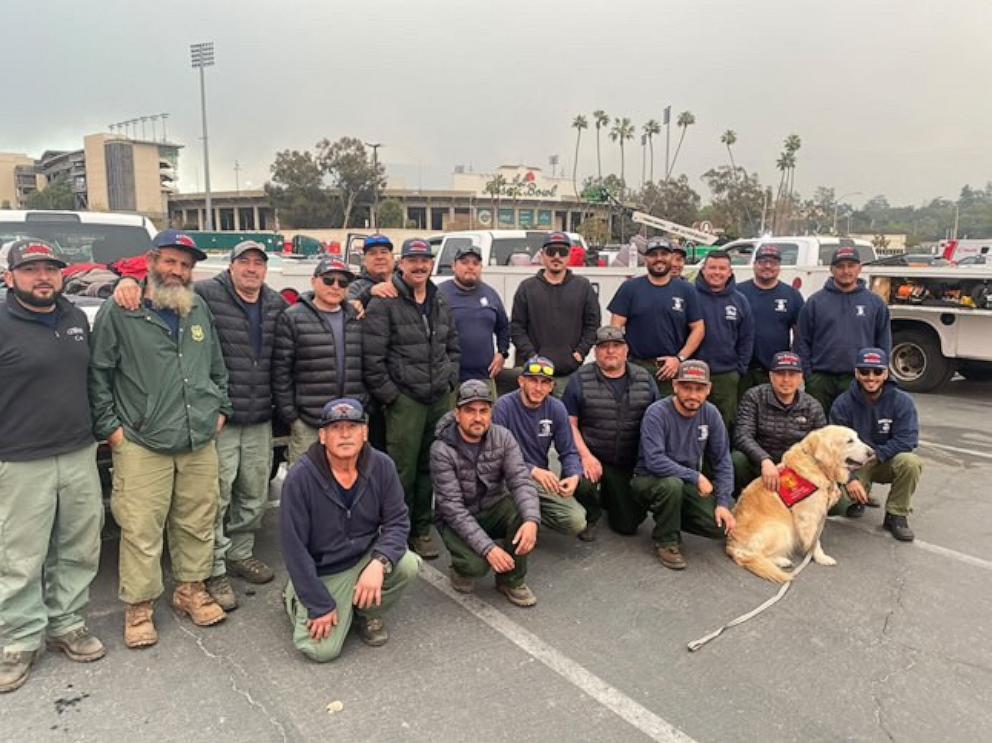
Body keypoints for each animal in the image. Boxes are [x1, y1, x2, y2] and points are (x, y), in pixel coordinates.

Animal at [724, 428, 872, 584]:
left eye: (857, 437)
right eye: (850, 441)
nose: (872, 452)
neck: (817, 465)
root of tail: (731, 545)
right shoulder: (808, 516)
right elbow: (814, 542)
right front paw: (821, 558)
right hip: (782, 529)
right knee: (756, 554)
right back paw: (782, 561)